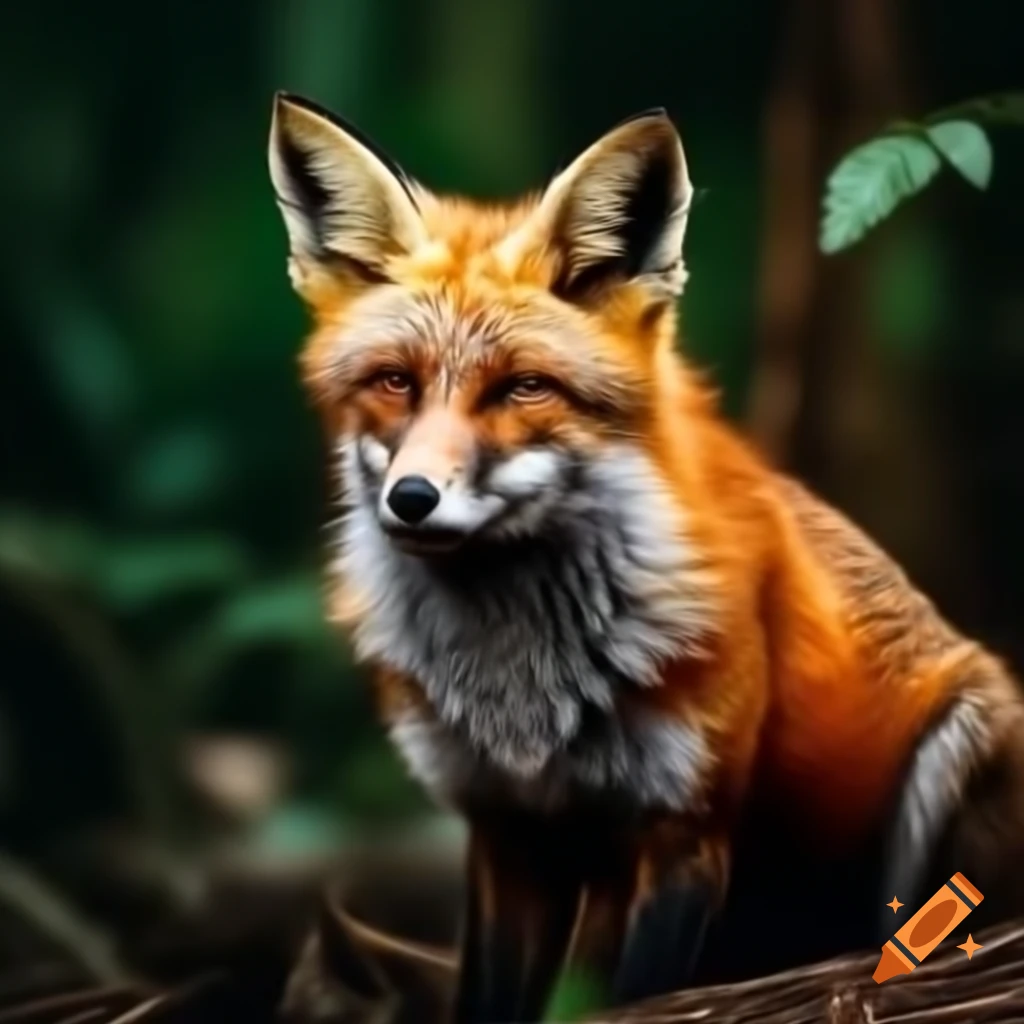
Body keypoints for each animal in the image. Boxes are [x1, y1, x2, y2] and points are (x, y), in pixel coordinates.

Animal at [267, 92, 1024, 1023]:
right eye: (395, 382)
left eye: (523, 388)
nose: (411, 499)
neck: (523, 691)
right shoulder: (508, 831)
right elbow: (493, 995)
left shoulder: (683, 827)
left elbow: (636, 995)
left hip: (953, 752)